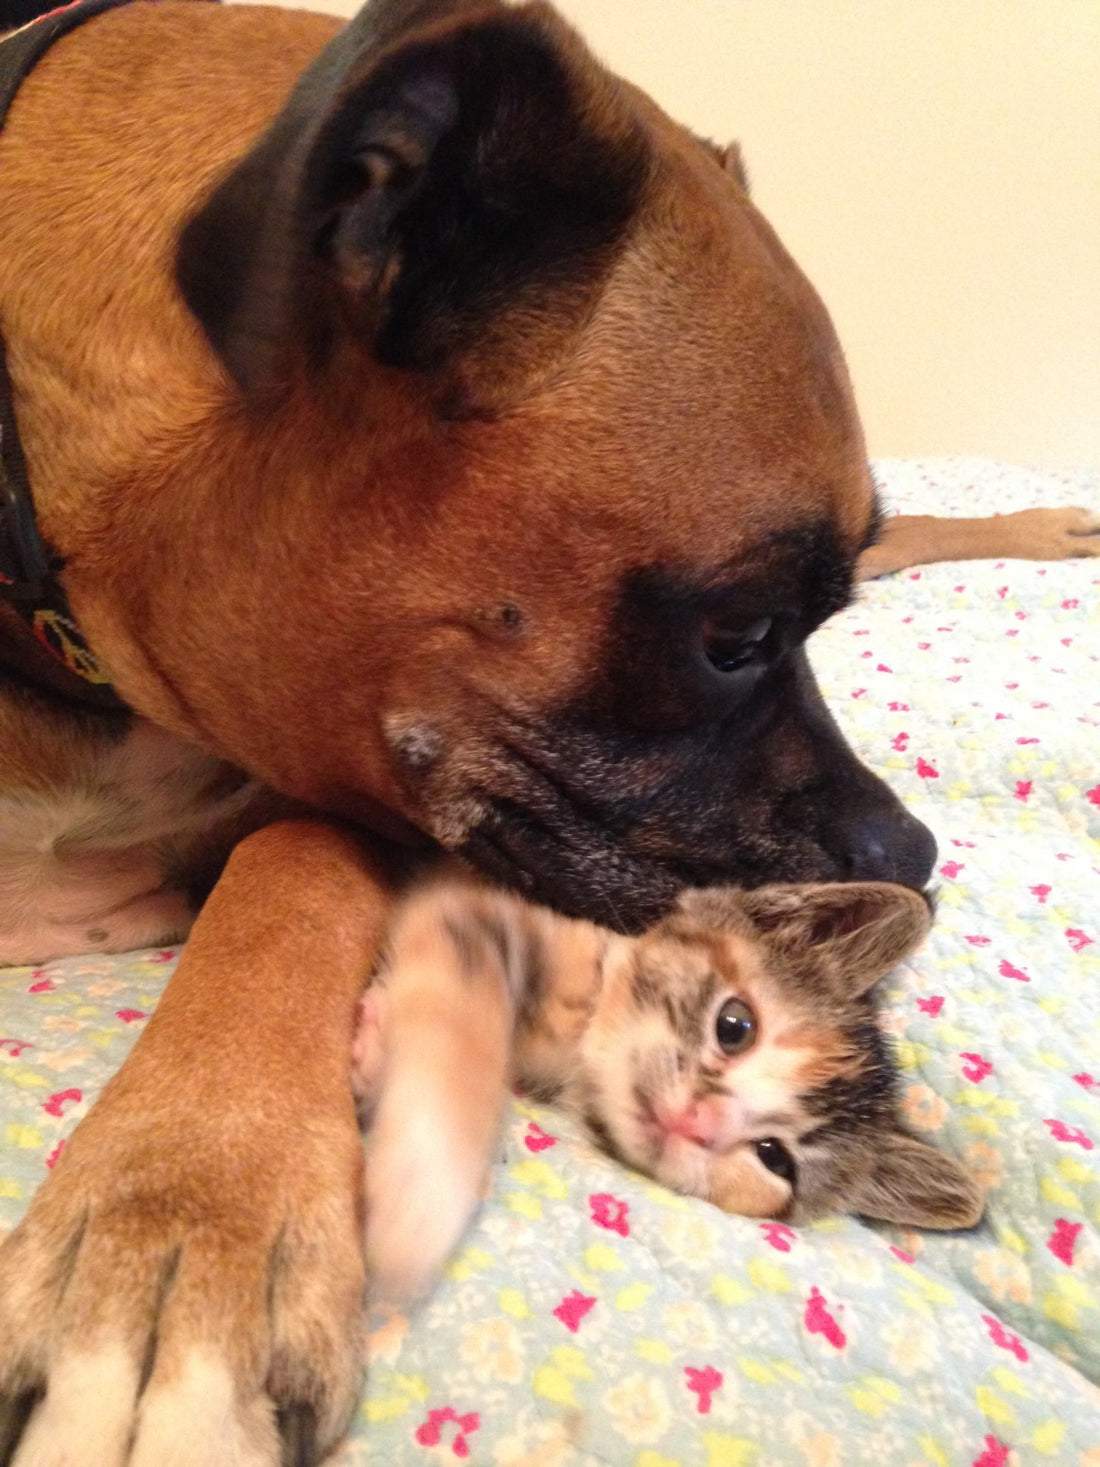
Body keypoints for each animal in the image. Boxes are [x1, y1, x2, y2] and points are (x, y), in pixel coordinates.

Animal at [354, 868, 991, 1296]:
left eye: (775, 1158)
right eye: (735, 1026)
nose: (699, 1121)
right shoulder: (472, 908)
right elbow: (463, 1016)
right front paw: (418, 1202)